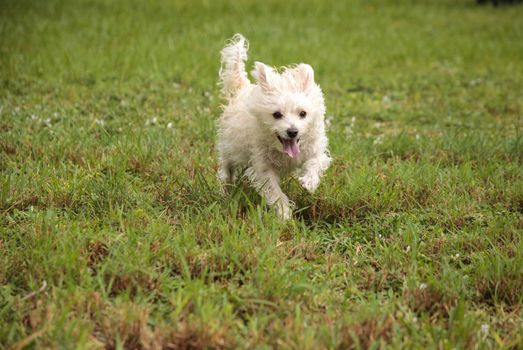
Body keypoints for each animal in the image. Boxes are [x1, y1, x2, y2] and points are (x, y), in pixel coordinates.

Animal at [216, 33, 332, 219]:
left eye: (303, 113)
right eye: (277, 114)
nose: (292, 131)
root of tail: (242, 89)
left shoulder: (314, 149)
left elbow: (317, 161)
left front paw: (309, 182)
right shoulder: (263, 166)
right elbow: (274, 191)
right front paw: (284, 214)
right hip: (229, 147)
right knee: (226, 170)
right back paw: (225, 191)